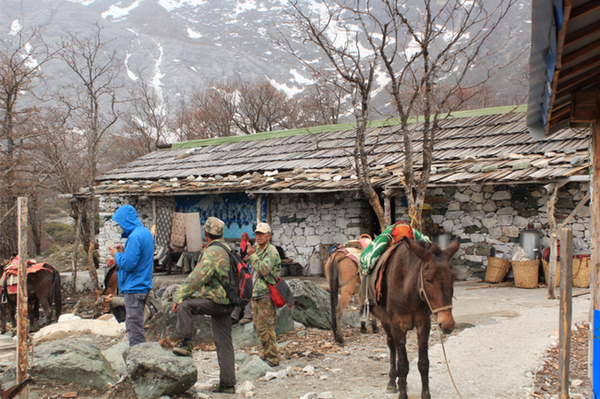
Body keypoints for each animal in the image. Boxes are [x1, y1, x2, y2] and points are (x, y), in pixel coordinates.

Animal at [372, 238, 462, 399]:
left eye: (453, 277)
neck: (409, 291)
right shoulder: (397, 325)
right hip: (385, 322)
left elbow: (424, 363)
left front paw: (425, 394)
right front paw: (402, 395)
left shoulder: (424, 324)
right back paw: (392, 382)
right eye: (428, 280)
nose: (447, 324)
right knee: (392, 346)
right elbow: (402, 364)